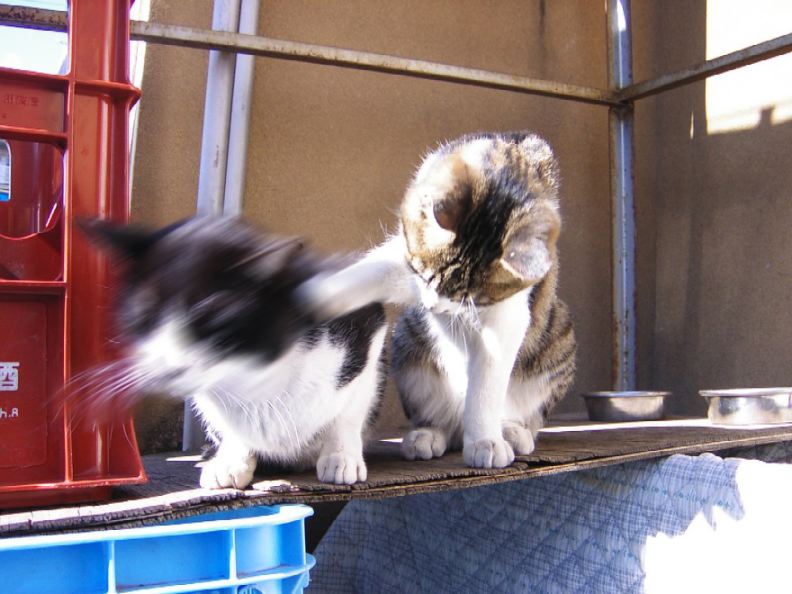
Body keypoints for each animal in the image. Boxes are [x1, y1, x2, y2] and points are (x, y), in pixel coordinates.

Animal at [80, 217, 386, 486]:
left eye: (210, 319)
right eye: (145, 315)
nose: (168, 369)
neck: (254, 376)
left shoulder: (367, 321)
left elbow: (348, 411)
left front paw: (340, 457)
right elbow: (232, 427)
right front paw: (231, 460)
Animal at [302, 132, 576, 470]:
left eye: (475, 299)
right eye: (422, 274)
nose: (432, 306)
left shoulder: (507, 315)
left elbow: (485, 387)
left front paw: (486, 440)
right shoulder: (403, 257)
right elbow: (367, 273)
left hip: (559, 338)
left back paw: (511, 432)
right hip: (407, 342)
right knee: (440, 421)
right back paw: (427, 436)